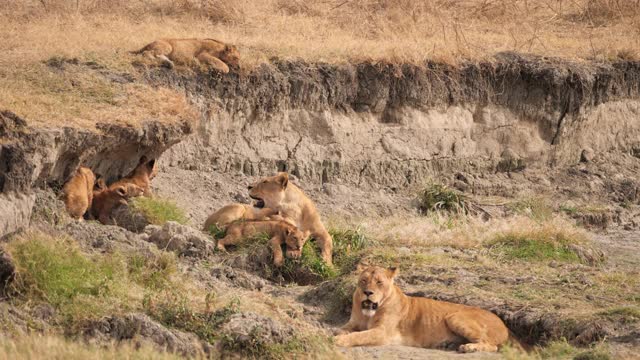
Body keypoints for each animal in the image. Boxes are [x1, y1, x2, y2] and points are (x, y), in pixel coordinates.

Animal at [336, 264, 516, 352]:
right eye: (364, 281)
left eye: (379, 282)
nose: (368, 292)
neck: (368, 314)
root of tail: (505, 325)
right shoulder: (353, 323)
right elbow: (341, 329)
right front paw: (338, 334)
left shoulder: (382, 332)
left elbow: (360, 336)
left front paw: (340, 340)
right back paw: (448, 345)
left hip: (455, 316)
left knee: (492, 345)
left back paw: (469, 348)